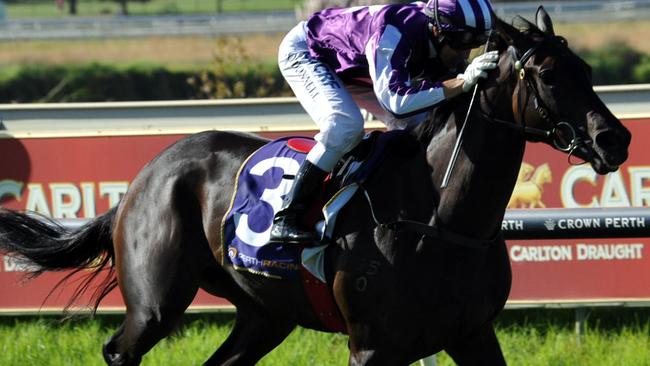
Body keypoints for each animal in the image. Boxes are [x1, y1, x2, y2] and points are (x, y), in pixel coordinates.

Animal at [0, 7, 628, 366]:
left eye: (587, 71)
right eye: (546, 74)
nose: (615, 139)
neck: (439, 218)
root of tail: (144, 176)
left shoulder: (473, 335)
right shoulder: (372, 348)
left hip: (264, 313)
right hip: (155, 303)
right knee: (119, 350)